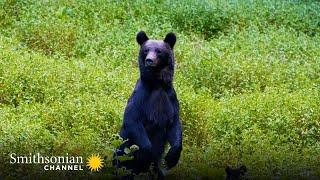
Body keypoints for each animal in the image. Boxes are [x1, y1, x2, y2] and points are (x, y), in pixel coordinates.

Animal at [114, 31, 181, 179]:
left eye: (159, 51)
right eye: (146, 50)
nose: (149, 60)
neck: (157, 84)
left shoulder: (170, 97)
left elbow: (175, 124)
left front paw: (171, 158)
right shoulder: (142, 96)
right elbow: (132, 120)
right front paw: (146, 154)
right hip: (121, 153)